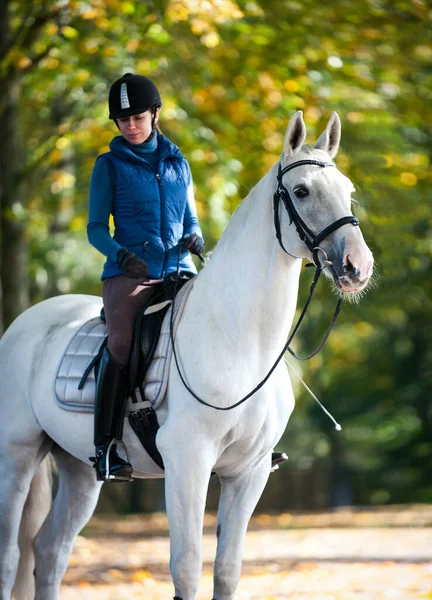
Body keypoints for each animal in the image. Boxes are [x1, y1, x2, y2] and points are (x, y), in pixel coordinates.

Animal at [0, 111, 372, 600]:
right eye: (302, 191)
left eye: (347, 189)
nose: (357, 267)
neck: (239, 343)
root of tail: (25, 323)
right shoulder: (188, 462)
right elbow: (187, 567)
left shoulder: (249, 473)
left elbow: (227, 570)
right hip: (17, 456)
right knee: (11, 556)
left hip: (79, 469)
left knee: (49, 550)